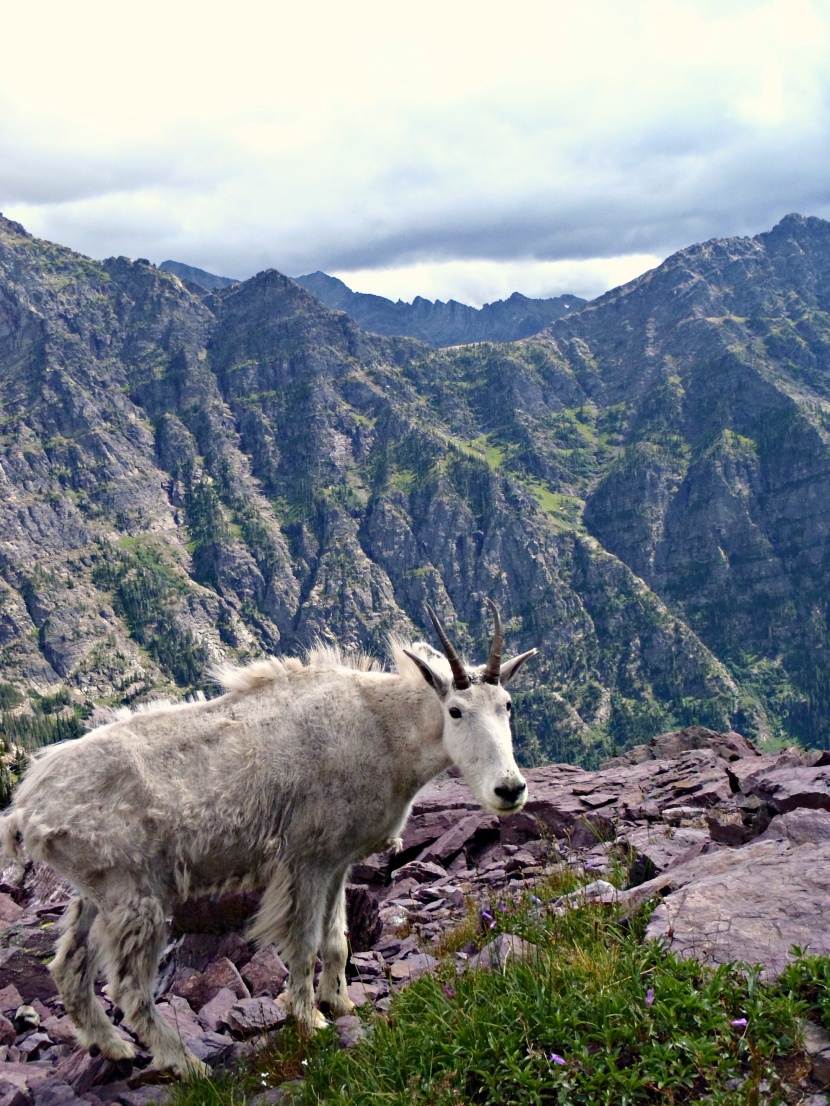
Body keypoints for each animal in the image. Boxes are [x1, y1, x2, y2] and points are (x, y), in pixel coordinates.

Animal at [1, 606, 540, 1079]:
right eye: (456, 711)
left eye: (508, 706)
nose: (510, 790)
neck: (383, 727)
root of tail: (27, 807)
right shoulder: (307, 858)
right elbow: (303, 943)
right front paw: (309, 1017)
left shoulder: (338, 862)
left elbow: (337, 938)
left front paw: (340, 1001)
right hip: (134, 896)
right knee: (131, 989)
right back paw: (187, 1065)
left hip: (97, 892)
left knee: (68, 966)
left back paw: (112, 1048)